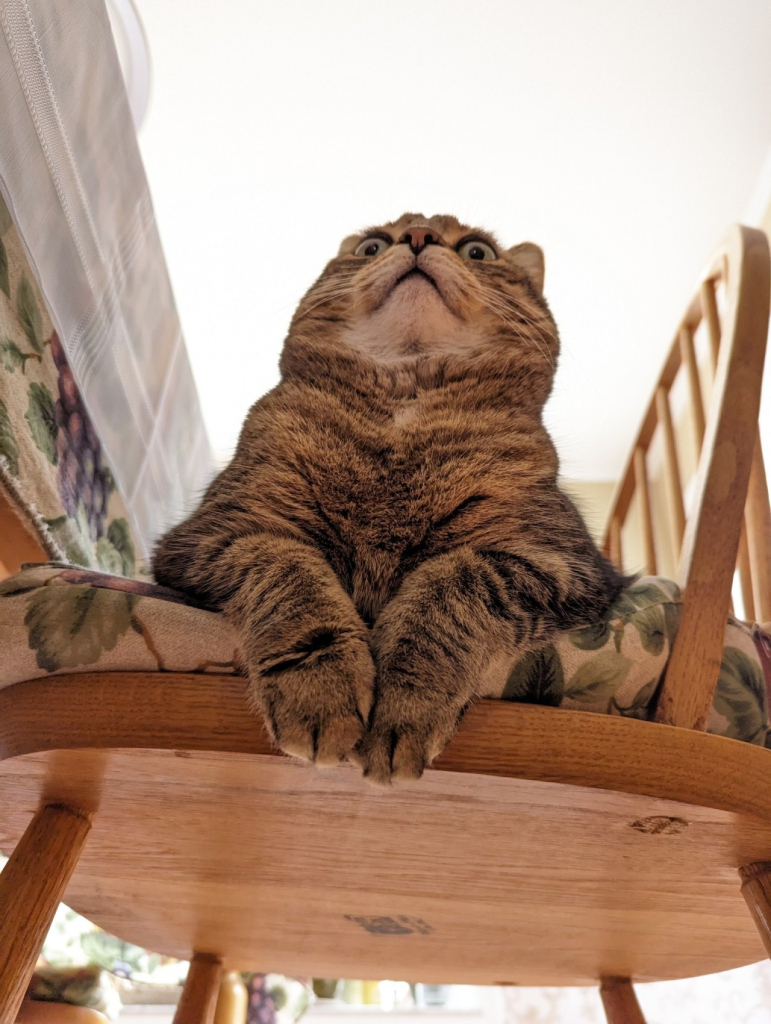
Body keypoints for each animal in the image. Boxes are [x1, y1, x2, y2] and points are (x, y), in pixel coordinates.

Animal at [151, 214, 626, 782]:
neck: (403, 400)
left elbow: (447, 588)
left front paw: (405, 698)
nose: (419, 235)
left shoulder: (556, 559)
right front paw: (321, 689)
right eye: (372, 245)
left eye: (477, 251)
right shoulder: (227, 527)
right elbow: (292, 573)